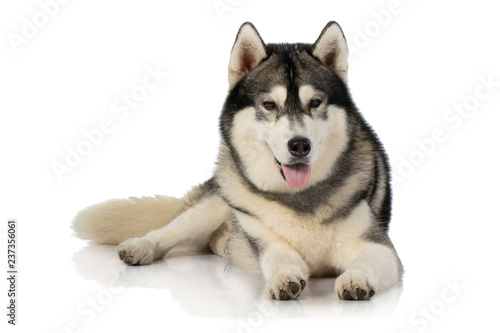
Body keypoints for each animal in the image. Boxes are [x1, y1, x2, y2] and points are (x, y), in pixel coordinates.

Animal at [73, 22, 402, 300]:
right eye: (269, 105)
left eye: (315, 103)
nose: (299, 145)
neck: (297, 198)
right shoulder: (266, 241)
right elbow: (278, 258)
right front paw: (284, 277)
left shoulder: (377, 246)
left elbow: (369, 261)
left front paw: (356, 278)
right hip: (221, 196)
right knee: (171, 229)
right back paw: (141, 245)